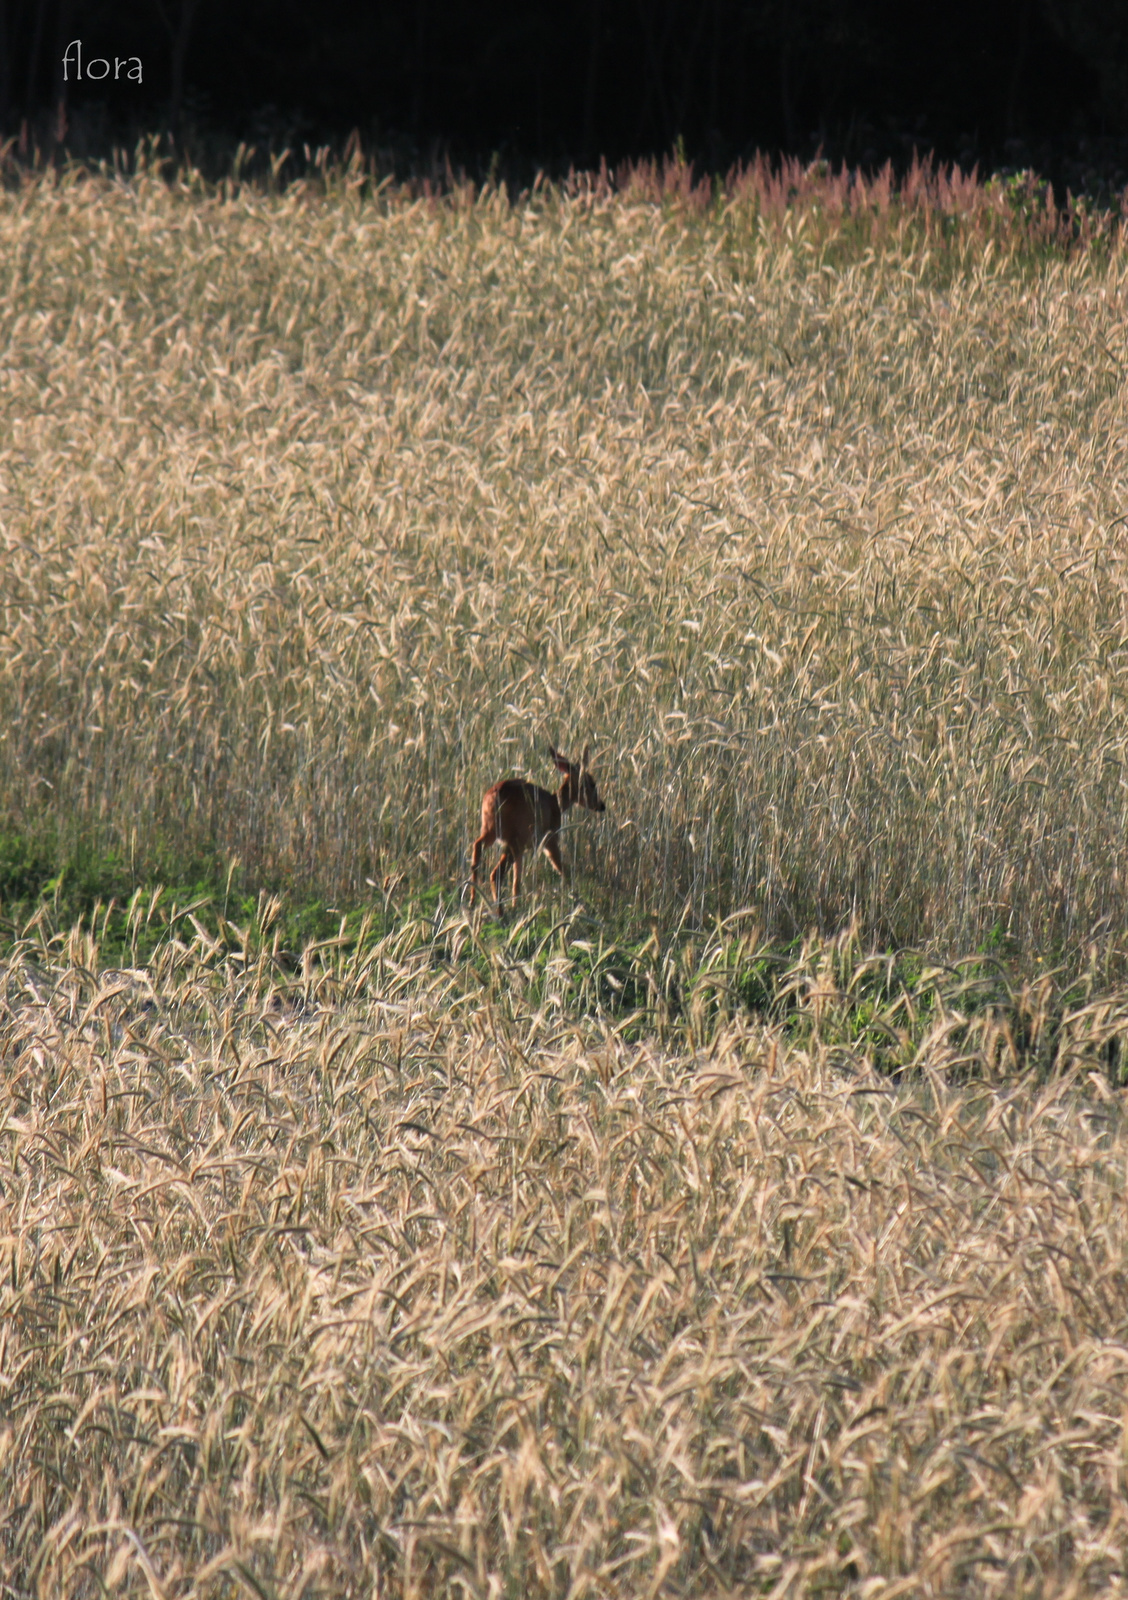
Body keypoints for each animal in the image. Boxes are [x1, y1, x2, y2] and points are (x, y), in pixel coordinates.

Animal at [467, 748, 608, 915]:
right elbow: (563, 870)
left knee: (478, 847)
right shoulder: (549, 839)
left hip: (492, 831)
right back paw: (502, 911)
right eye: (592, 784)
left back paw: (473, 901)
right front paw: (580, 903)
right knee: (498, 874)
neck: (556, 804)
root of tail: (494, 795)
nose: (601, 805)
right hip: (515, 838)